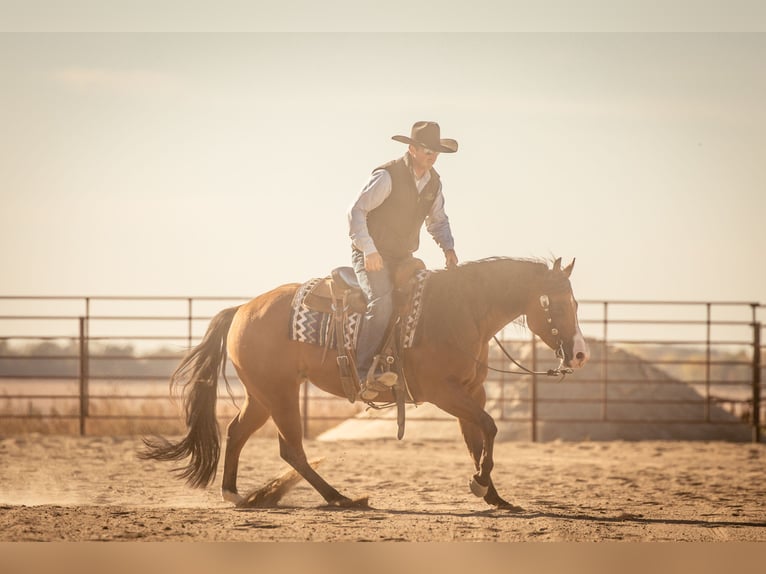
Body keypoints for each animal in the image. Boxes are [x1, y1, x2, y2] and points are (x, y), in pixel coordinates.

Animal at [141, 258, 592, 510]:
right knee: (291, 450)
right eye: (558, 303)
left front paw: (494, 495)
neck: (459, 310)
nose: (580, 354)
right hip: (280, 394)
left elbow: (479, 438)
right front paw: (481, 485)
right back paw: (340, 498)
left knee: (237, 433)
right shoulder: (443, 392)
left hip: (263, 395)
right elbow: (490, 428)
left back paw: (235, 494)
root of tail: (242, 309)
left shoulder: (471, 391)